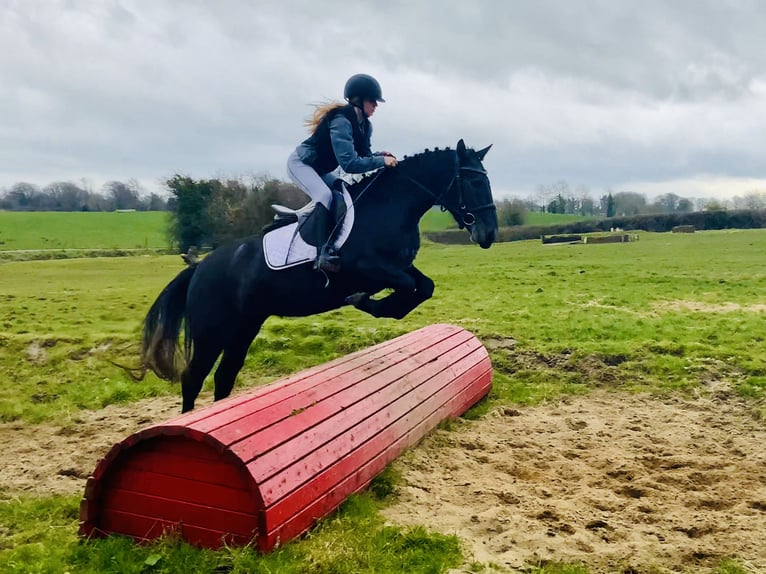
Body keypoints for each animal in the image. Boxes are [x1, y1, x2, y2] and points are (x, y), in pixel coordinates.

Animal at [136, 140, 498, 412]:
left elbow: (423, 286)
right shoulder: (365, 267)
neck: (391, 208)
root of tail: (199, 267)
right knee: (193, 378)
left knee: (224, 376)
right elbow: (409, 287)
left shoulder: (397, 268)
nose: (490, 234)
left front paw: (374, 304)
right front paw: (364, 301)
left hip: (244, 327)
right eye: (475, 182)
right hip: (212, 332)